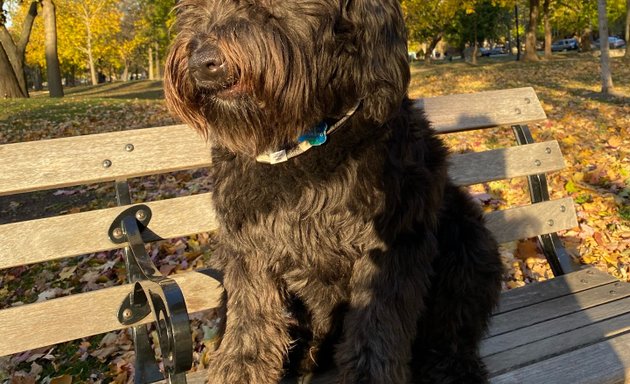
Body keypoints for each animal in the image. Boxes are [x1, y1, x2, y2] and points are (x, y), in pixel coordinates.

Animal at [165, 1, 506, 382]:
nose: (202, 64)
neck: (302, 143)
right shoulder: (248, 249)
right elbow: (250, 323)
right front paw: (240, 369)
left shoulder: (392, 241)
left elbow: (376, 328)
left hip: (469, 236)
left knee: (453, 322)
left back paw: (452, 365)